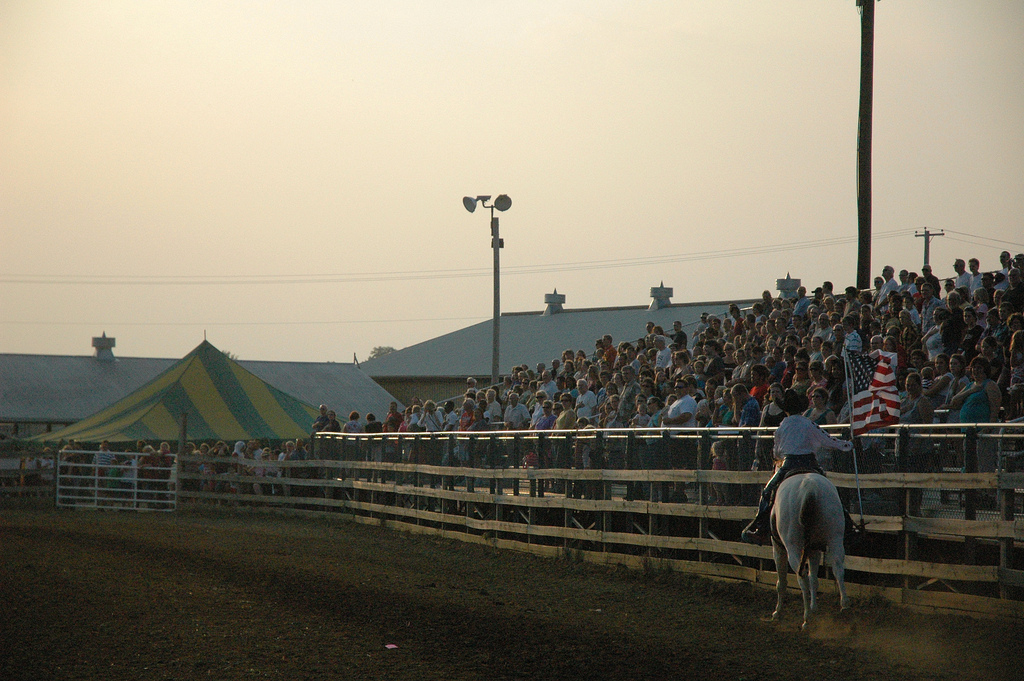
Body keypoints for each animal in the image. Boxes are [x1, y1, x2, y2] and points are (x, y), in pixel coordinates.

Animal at [770, 471, 847, 630]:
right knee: (838, 568)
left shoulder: (778, 548)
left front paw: (777, 612)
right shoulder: (814, 550)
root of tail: (810, 488)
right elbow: (814, 579)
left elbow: (782, 582)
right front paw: (814, 607)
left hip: (793, 547)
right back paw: (844, 608)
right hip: (835, 538)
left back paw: (806, 619)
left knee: (802, 577)